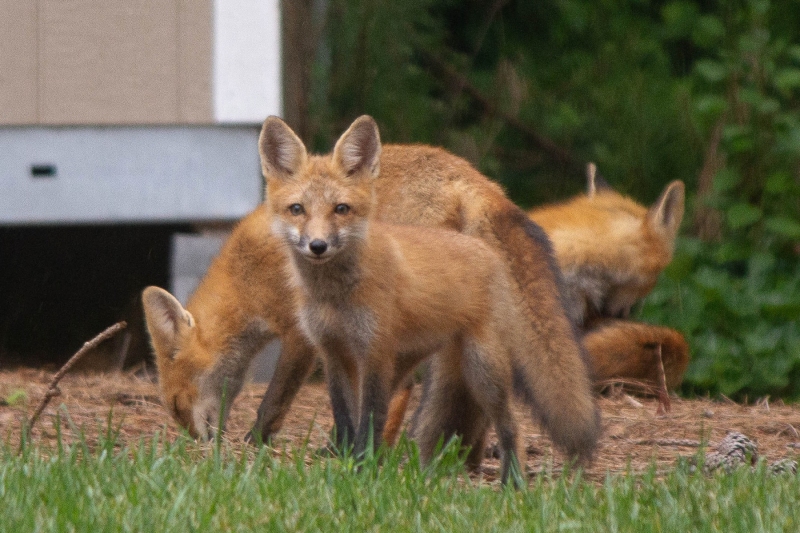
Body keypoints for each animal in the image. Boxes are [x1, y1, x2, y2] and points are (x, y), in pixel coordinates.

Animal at [143, 117, 600, 462]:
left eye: (178, 404)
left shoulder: (301, 335)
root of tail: (474, 177)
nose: (197, 446)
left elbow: (274, 401)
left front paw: (256, 443)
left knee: (407, 384)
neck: (249, 275)